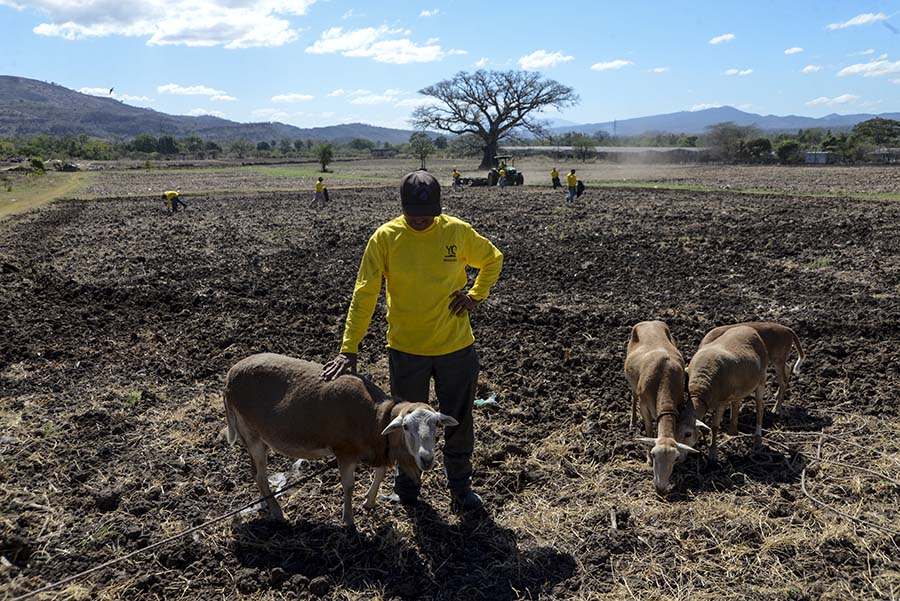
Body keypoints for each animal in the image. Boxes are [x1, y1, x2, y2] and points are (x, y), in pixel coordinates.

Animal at [225, 352, 458, 524]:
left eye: (437, 425)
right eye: (406, 427)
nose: (427, 460)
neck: (374, 417)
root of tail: (230, 376)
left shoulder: (378, 445)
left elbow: (381, 472)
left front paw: (369, 502)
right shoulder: (344, 452)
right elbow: (349, 486)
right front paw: (349, 519)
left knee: (257, 473)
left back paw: (265, 503)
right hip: (251, 434)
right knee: (260, 475)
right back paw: (277, 511)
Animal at [624, 318, 700, 492]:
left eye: (675, 458)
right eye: (653, 454)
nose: (660, 488)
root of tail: (649, 321)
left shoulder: (678, 401)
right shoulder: (644, 406)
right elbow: (649, 430)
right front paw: (647, 460)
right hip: (632, 381)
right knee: (633, 395)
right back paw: (632, 422)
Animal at [688, 324, 768, 460]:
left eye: (687, 434)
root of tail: (749, 328)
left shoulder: (721, 402)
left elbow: (714, 426)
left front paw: (712, 452)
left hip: (761, 380)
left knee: (759, 407)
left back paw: (757, 440)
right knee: (736, 403)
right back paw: (732, 431)